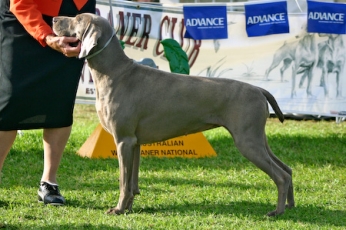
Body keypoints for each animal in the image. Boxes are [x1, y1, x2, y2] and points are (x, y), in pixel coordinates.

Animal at [52, 12, 294, 217]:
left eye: (77, 19)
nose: (54, 19)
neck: (115, 72)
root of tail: (259, 89)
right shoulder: (134, 142)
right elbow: (132, 182)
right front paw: (128, 207)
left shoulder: (123, 140)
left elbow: (123, 181)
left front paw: (118, 209)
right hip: (257, 137)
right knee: (288, 169)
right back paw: (290, 205)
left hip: (247, 140)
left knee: (281, 176)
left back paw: (277, 211)